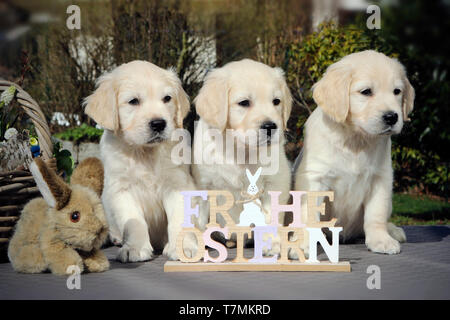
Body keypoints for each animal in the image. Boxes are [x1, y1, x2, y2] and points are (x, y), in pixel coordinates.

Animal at [84, 60, 197, 262]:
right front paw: (135, 248)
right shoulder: (122, 189)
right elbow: (134, 222)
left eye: (167, 98)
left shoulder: (177, 184)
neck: (144, 152)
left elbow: (179, 219)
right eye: (133, 101)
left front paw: (183, 247)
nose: (159, 124)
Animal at [192, 58, 292, 251]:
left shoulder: (275, 182)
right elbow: (199, 216)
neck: (241, 149)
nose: (270, 127)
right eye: (244, 102)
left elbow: (271, 215)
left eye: (276, 101)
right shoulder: (204, 184)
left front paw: (273, 242)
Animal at [296, 50, 414, 255]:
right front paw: (303, 244)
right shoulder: (315, 178)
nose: (392, 117)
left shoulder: (380, 178)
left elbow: (376, 214)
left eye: (397, 91)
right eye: (366, 91)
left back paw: (392, 230)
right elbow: (309, 214)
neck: (355, 139)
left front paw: (381, 239)